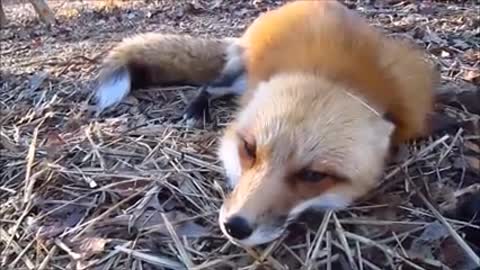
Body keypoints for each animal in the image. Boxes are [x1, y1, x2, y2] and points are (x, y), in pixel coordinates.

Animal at [94, 0, 438, 247]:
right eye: (249, 149)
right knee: (209, 86)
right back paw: (195, 110)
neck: (332, 72)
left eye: (313, 175)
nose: (235, 226)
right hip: (238, 79)